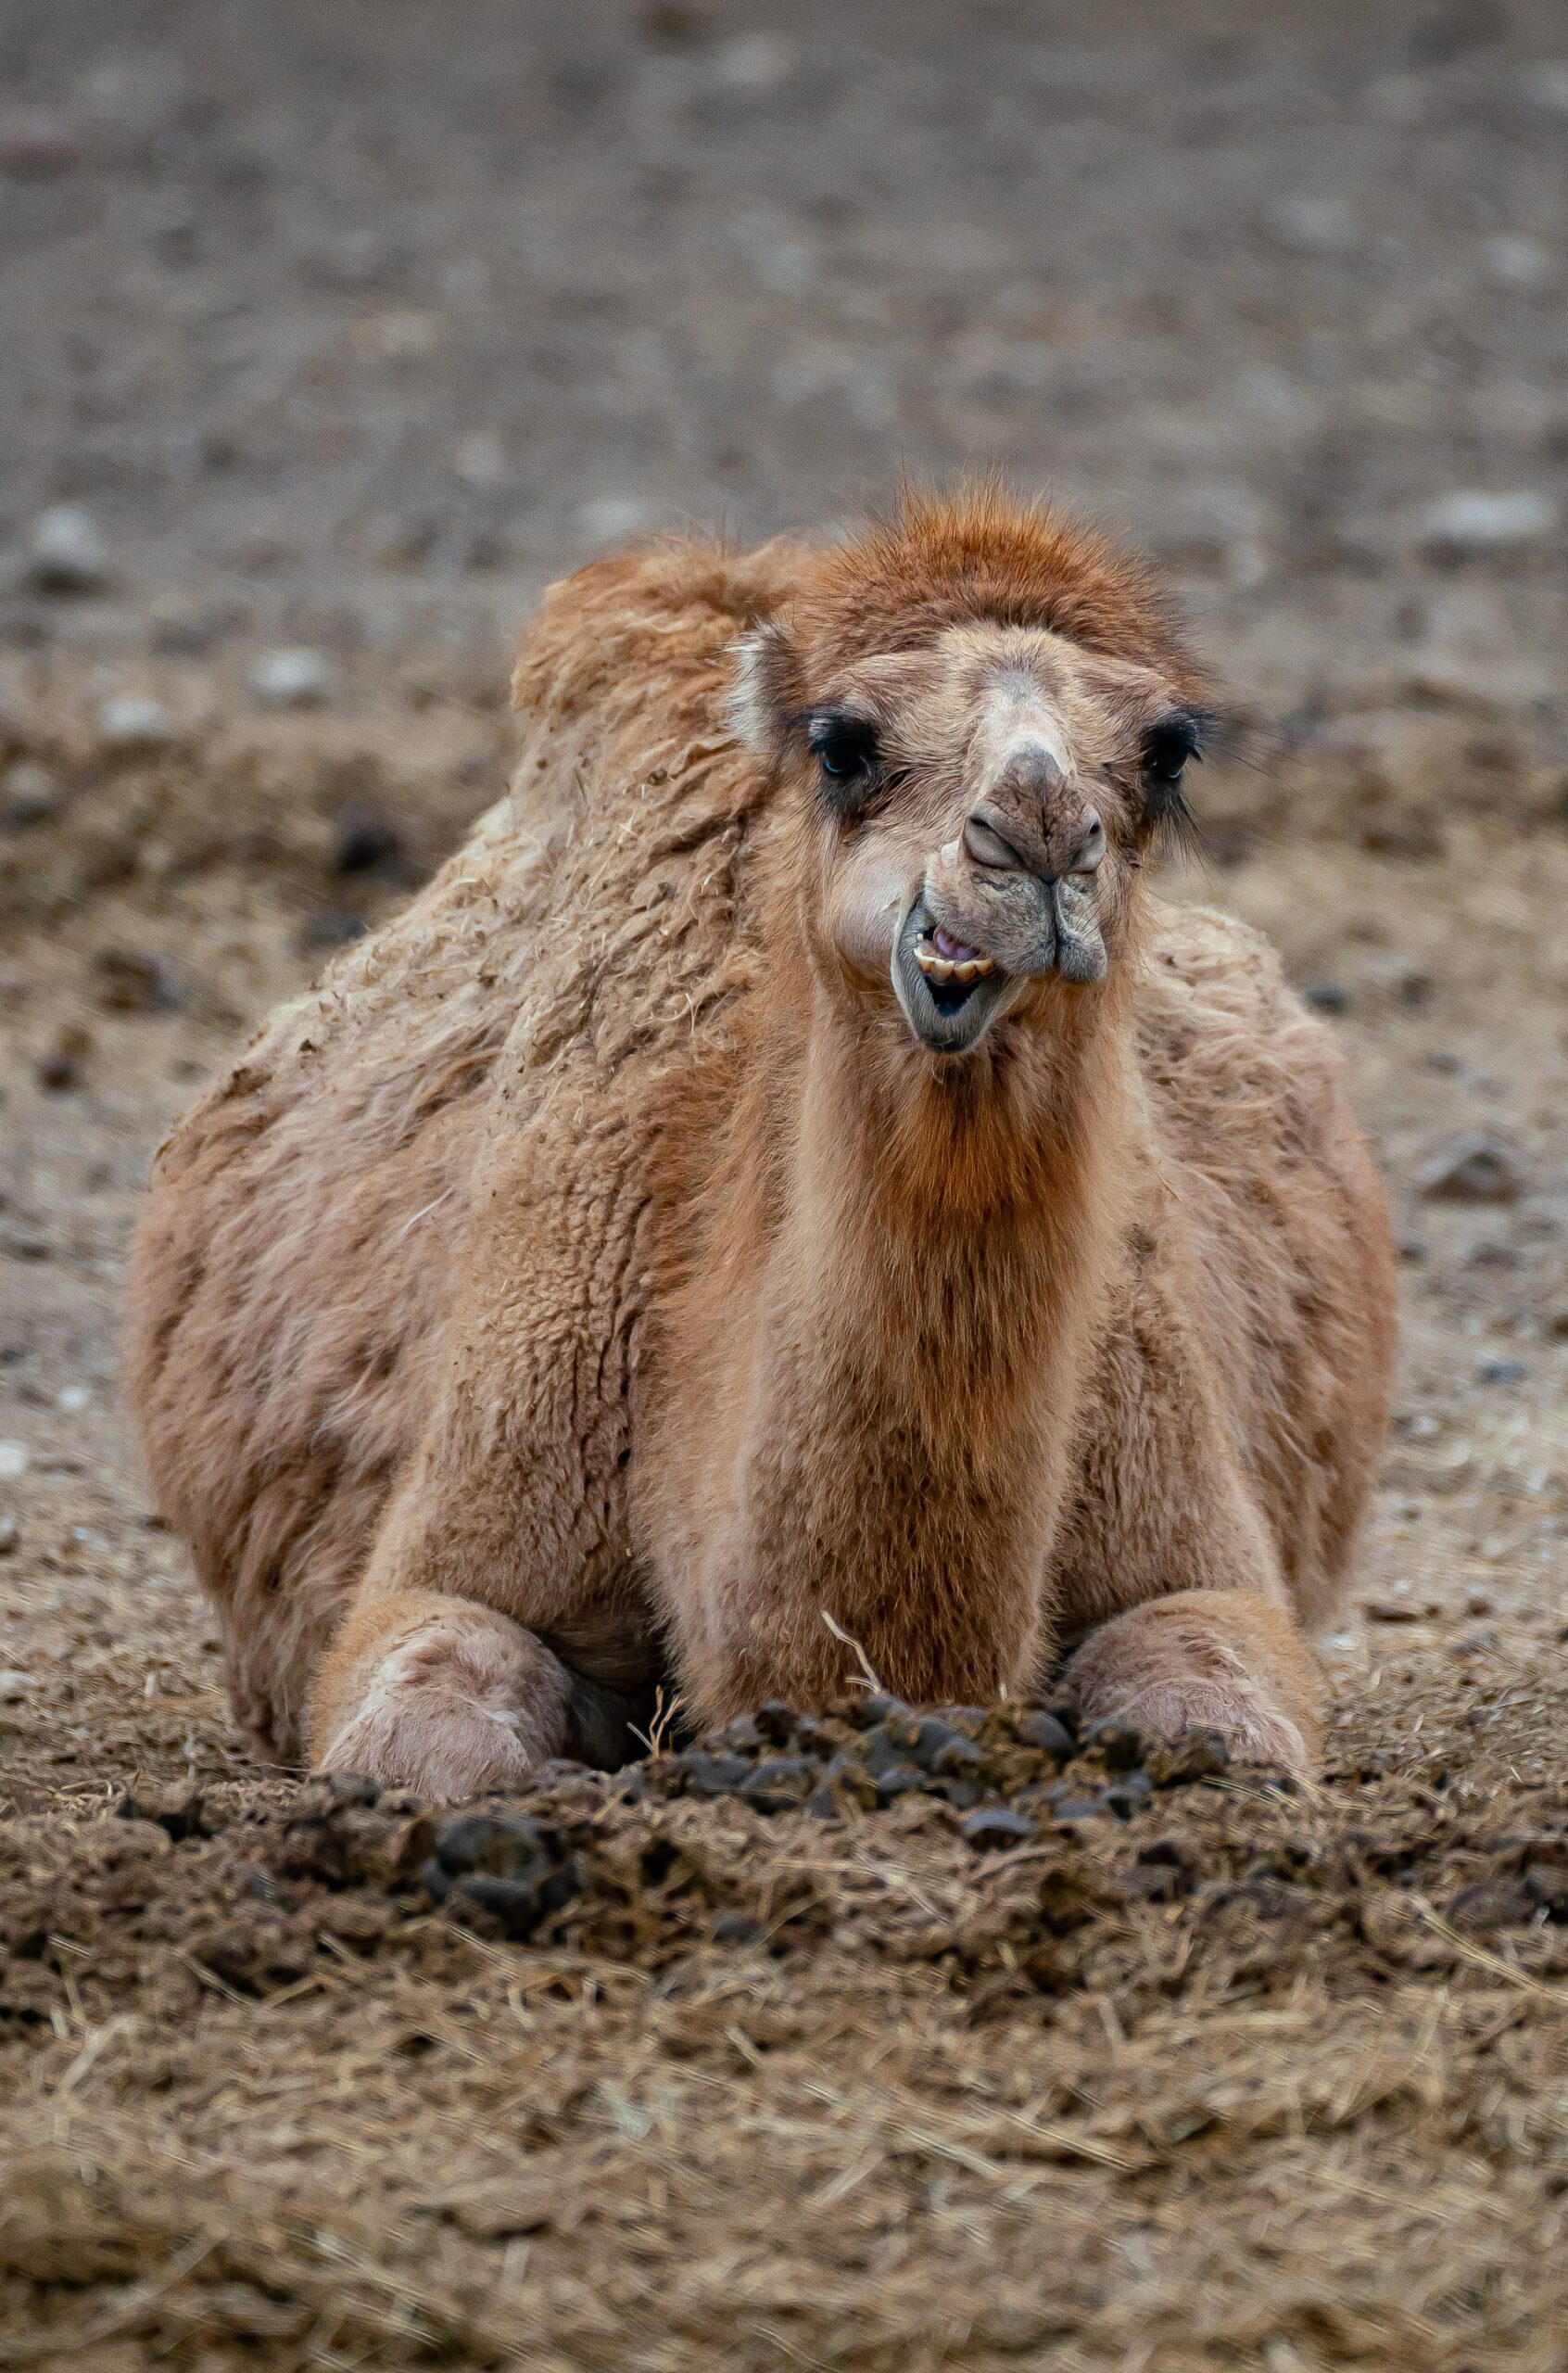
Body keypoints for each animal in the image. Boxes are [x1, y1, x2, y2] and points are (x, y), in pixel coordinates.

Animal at [125, 490, 1395, 1784]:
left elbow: (1222, 1720)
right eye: (842, 744)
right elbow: (421, 1737)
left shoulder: (1198, 1544)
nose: (1036, 832)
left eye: (1166, 748)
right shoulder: (454, 1544)